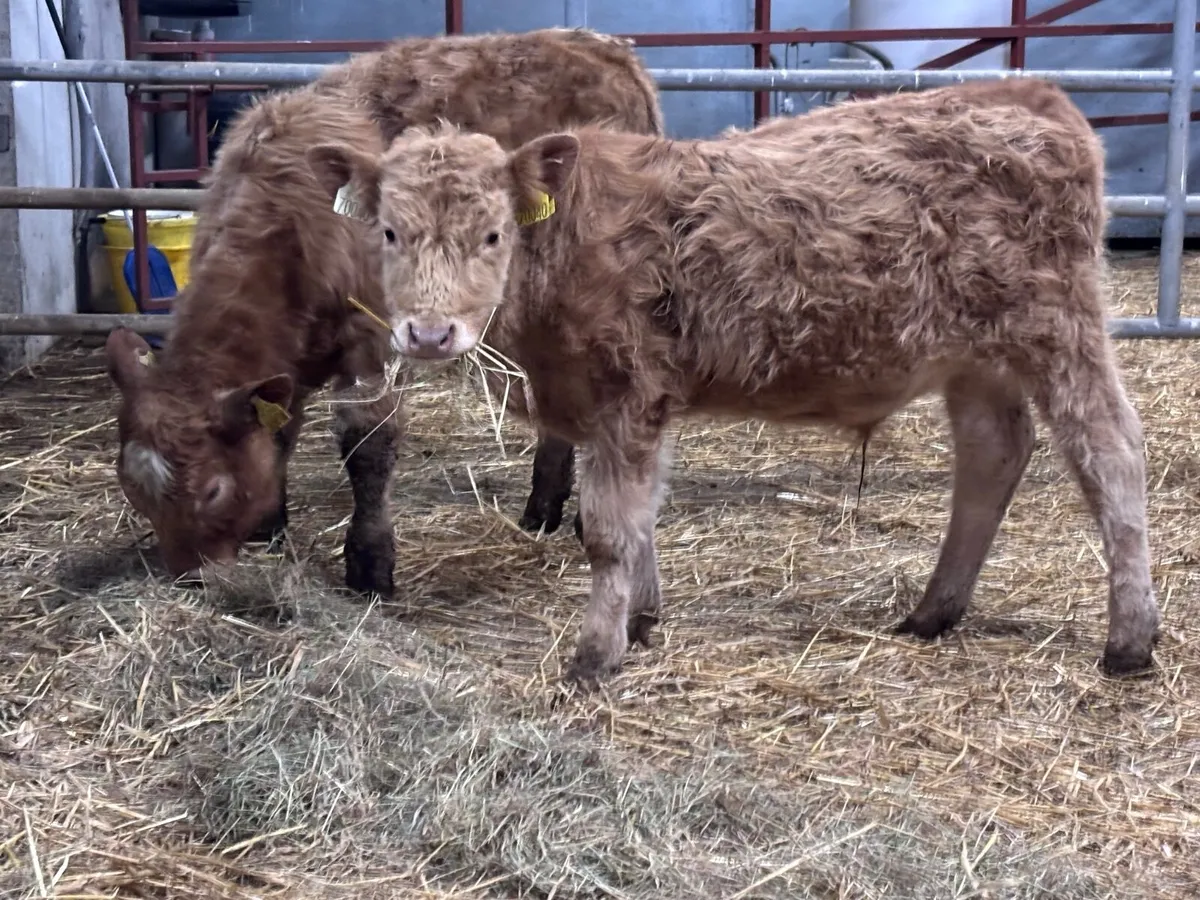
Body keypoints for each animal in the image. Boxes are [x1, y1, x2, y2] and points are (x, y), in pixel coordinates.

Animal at [103, 27, 663, 596]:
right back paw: (545, 505)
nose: (189, 576)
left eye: (213, 490)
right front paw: (271, 524)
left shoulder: (372, 339)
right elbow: (280, 430)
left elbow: (368, 444)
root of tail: (599, 45)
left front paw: (369, 560)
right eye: (133, 488)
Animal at [304, 78, 1162, 685]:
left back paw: (1130, 640)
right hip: (977, 358)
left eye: (492, 234)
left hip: (1061, 330)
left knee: (1113, 456)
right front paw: (643, 622)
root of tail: (1028, 93)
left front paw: (594, 656)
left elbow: (608, 531)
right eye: (390, 231)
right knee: (993, 453)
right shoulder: (619, 405)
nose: (429, 333)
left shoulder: (626, 395)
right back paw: (933, 612)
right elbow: (639, 519)